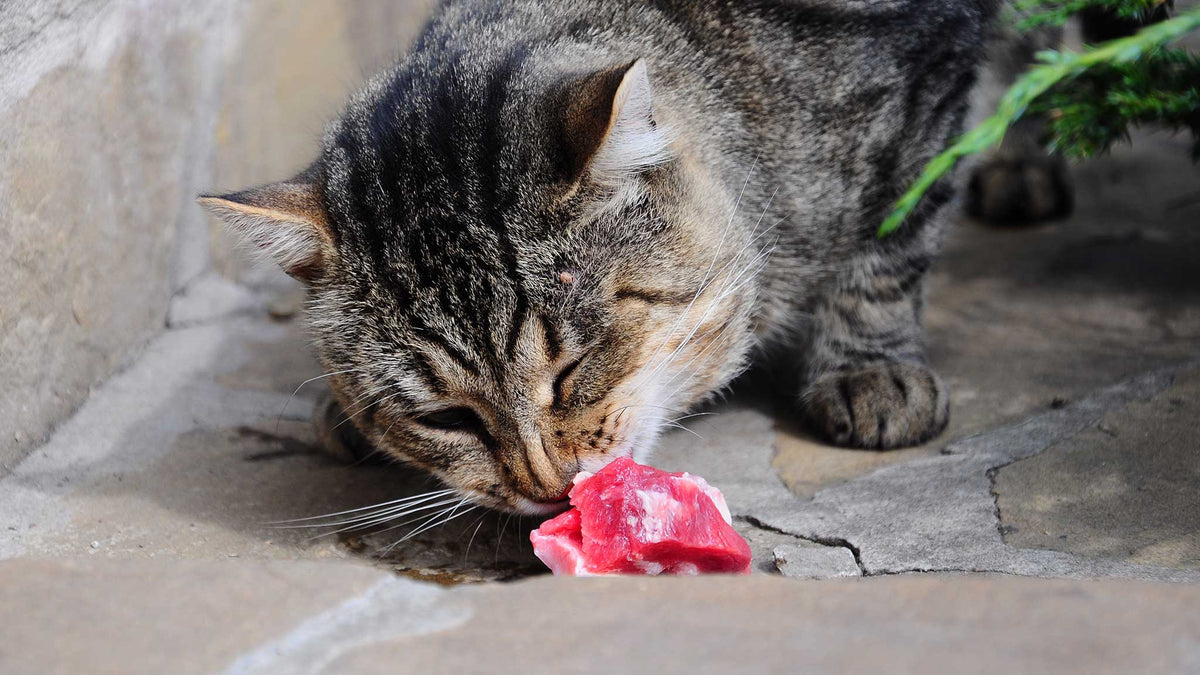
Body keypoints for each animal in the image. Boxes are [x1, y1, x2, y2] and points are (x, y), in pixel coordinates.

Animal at [201, 0, 998, 511]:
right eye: (447, 418)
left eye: (573, 370)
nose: (547, 487)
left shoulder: (924, 80)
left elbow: (891, 239)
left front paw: (870, 368)